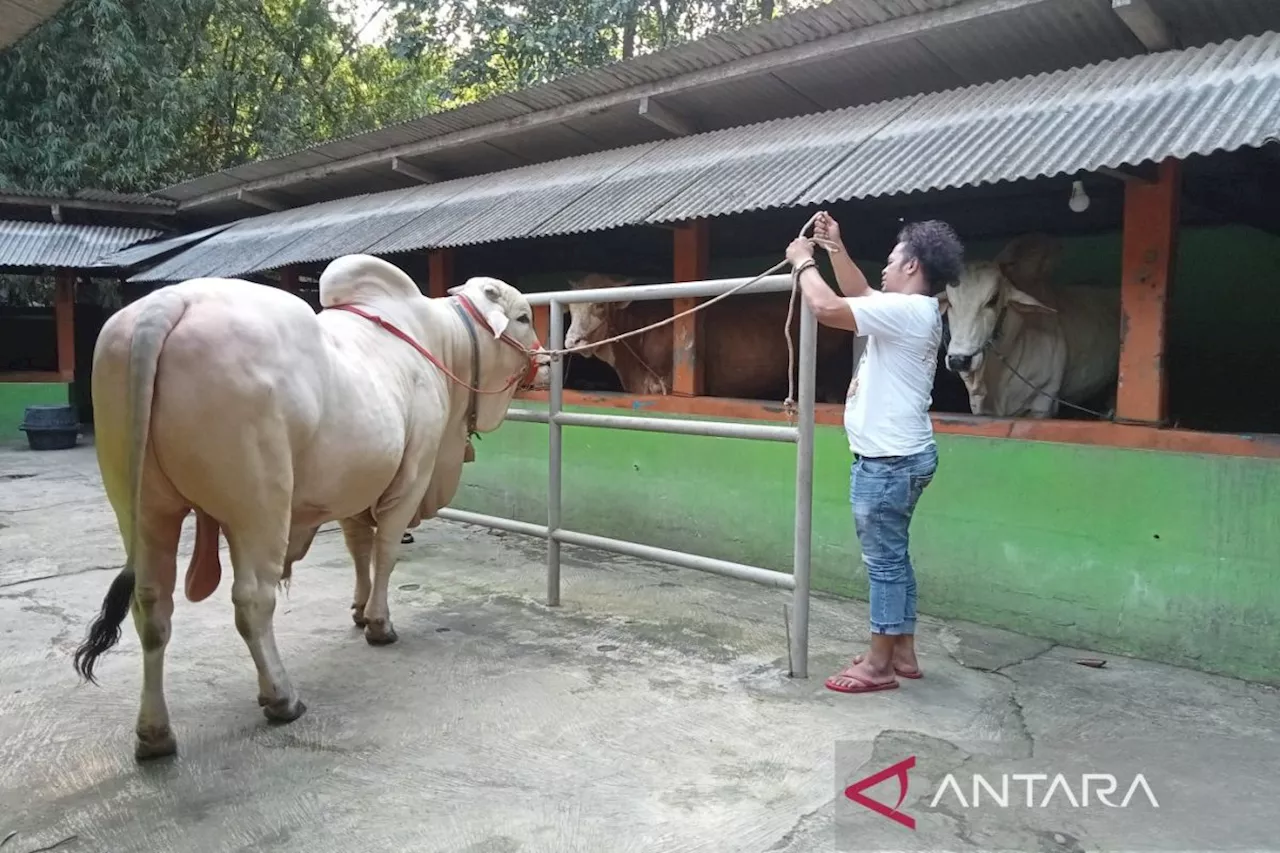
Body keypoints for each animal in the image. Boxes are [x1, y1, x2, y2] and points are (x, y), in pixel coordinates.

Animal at [71, 252, 545, 758]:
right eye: (523, 317)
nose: (545, 363)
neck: (442, 344)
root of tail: (167, 302)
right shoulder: (411, 477)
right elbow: (385, 552)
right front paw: (379, 623)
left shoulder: (357, 484)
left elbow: (358, 547)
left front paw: (359, 609)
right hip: (259, 506)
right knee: (251, 601)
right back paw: (282, 697)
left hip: (142, 508)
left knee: (152, 607)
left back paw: (155, 733)